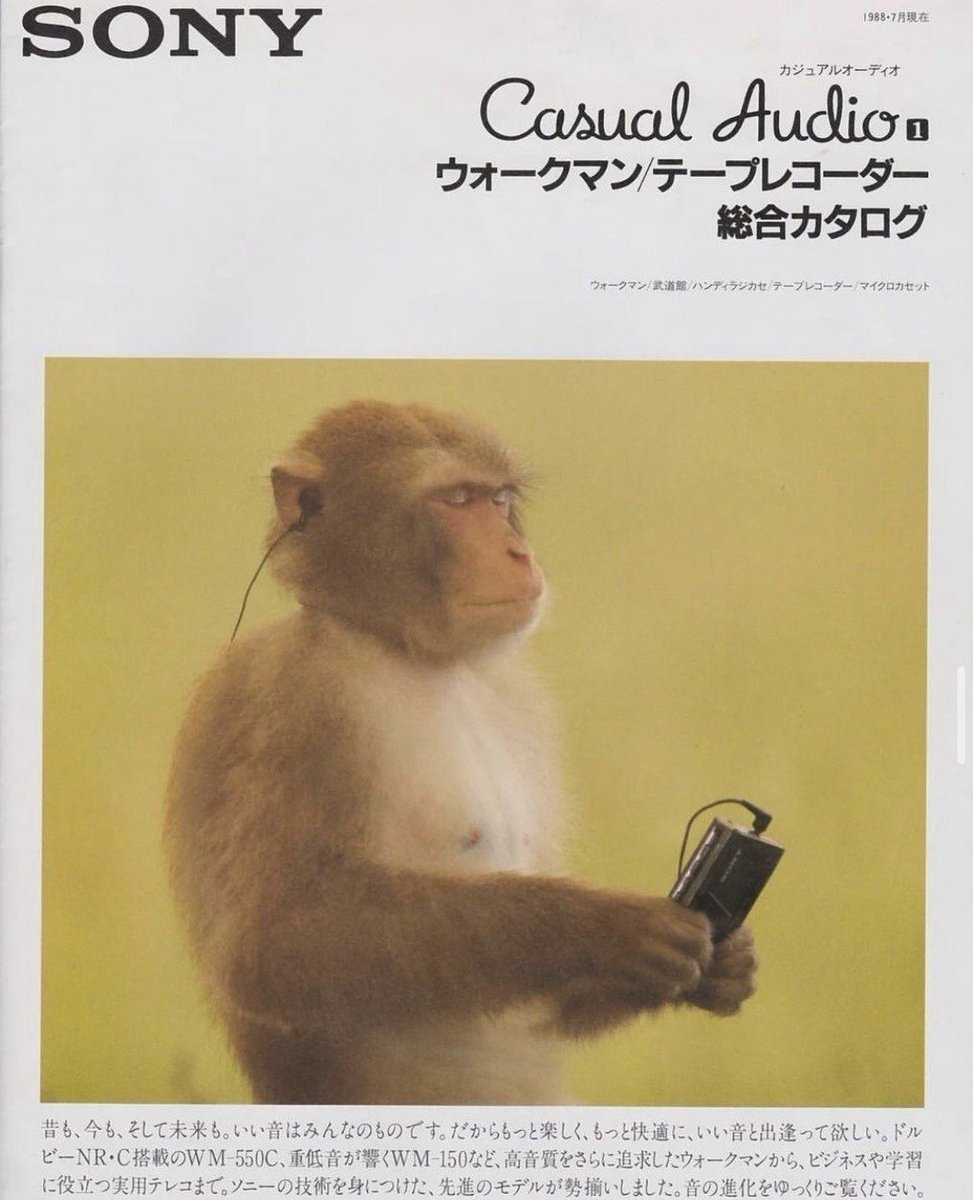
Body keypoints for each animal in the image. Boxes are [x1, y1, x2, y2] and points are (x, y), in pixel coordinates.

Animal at [166, 400, 757, 1105]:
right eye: (455, 499)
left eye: (499, 500)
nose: (518, 552)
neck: (402, 650)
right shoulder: (291, 701)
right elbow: (272, 944)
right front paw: (601, 929)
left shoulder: (520, 701)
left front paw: (726, 961)